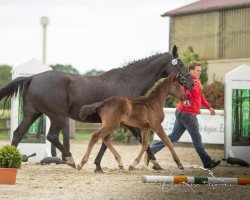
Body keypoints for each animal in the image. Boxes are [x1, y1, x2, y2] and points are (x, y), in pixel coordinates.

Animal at [0, 45, 193, 169]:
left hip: (33, 114)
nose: (191, 83)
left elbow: (105, 142)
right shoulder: (126, 123)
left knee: (18, 133)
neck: (128, 81)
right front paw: (155, 164)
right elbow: (130, 140)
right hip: (57, 116)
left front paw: (98, 165)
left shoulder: (117, 122)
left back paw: (12, 163)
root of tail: (32, 77)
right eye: (180, 64)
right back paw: (70, 160)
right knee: (52, 136)